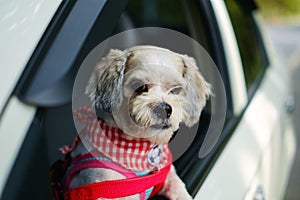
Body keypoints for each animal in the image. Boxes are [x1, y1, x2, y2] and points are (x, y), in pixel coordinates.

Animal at [61, 45, 210, 200]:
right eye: (140, 87)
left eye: (176, 89)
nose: (163, 108)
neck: (138, 149)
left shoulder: (168, 177)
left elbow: (178, 188)